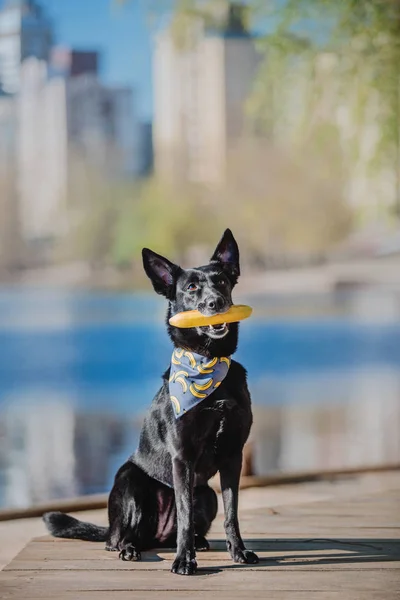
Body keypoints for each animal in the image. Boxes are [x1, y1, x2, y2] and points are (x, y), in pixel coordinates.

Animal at [42, 227, 258, 576]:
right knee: (119, 538)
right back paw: (132, 548)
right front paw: (184, 562)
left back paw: (195, 543)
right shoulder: (182, 458)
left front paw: (238, 551)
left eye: (222, 281)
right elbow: (184, 516)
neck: (207, 364)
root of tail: (152, 535)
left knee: (181, 526)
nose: (216, 303)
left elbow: (232, 513)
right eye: (191, 287)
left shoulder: (232, 455)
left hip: (205, 494)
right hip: (130, 483)